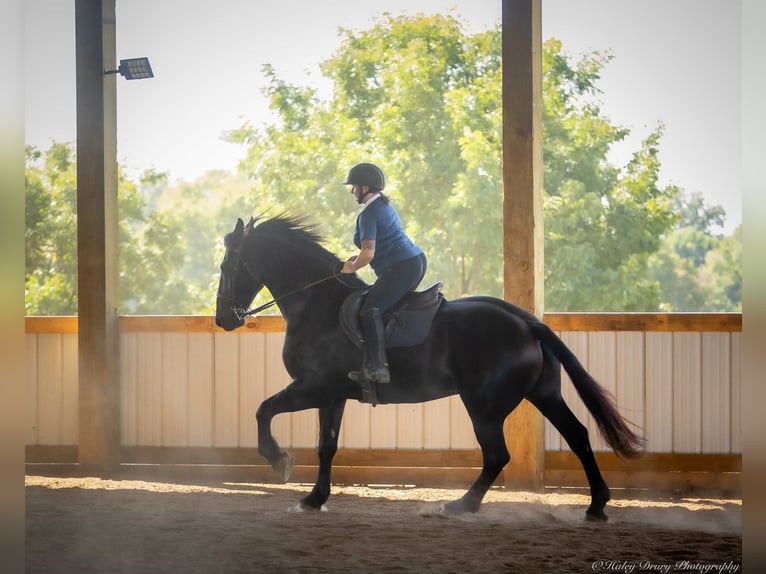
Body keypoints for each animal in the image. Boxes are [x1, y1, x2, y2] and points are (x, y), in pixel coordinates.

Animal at [214, 215, 645, 521]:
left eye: (227, 265)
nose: (223, 319)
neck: (317, 304)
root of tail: (527, 323)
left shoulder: (312, 386)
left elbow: (263, 411)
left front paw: (279, 460)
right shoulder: (332, 395)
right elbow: (326, 446)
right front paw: (315, 498)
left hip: (484, 406)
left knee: (497, 455)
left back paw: (460, 505)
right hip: (543, 394)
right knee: (577, 435)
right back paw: (596, 505)